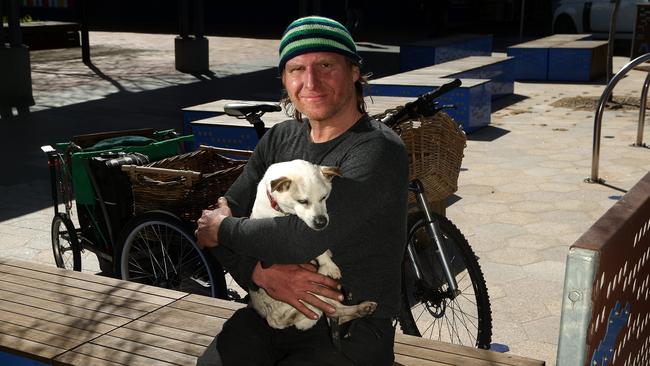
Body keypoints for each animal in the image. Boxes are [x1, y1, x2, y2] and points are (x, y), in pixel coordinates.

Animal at [249, 159, 380, 330]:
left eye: (324, 197)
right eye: (302, 201)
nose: (321, 222)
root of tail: (274, 319)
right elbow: (317, 250)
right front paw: (329, 265)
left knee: (336, 312)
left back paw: (363, 308)